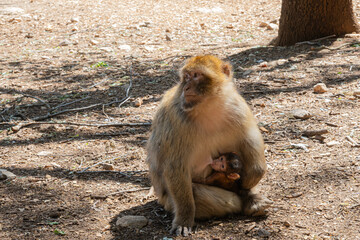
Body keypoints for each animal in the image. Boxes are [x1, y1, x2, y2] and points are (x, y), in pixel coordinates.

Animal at [146, 54, 268, 236]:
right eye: (186, 76)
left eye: (196, 75)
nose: (186, 87)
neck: (208, 106)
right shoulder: (176, 121)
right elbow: (175, 167)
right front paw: (185, 219)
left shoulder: (237, 107)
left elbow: (250, 142)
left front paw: (248, 184)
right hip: (168, 201)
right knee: (198, 193)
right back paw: (242, 201)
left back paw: (251, 198)